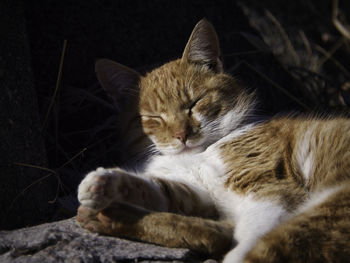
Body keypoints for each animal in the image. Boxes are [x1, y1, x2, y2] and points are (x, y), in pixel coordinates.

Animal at [76, 19, 350, 262]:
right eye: (153, 117)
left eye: (194, 103)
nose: (182, 135)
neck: (198, 155)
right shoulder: (195, 192)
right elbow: (156, 189)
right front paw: (102, 182)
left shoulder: (268, 186)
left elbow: (252, 232)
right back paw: (106, 216)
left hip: (328, 208)